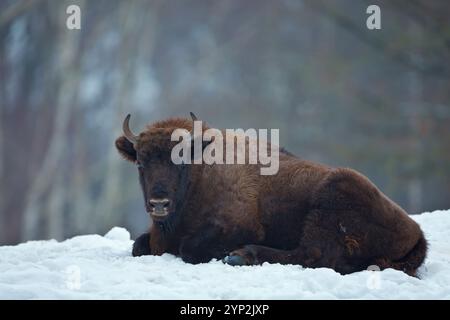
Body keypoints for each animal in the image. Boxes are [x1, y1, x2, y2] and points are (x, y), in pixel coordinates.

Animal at [114, 114, 428, 276]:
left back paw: (241, 255)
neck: (201, 173)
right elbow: (139, 245)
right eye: (141, 163)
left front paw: (226, 253)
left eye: (180, 162)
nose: (159, 204)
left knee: (313, 255)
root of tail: (416, 232)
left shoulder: (240, 226)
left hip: (333, 197)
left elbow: (189, 247)